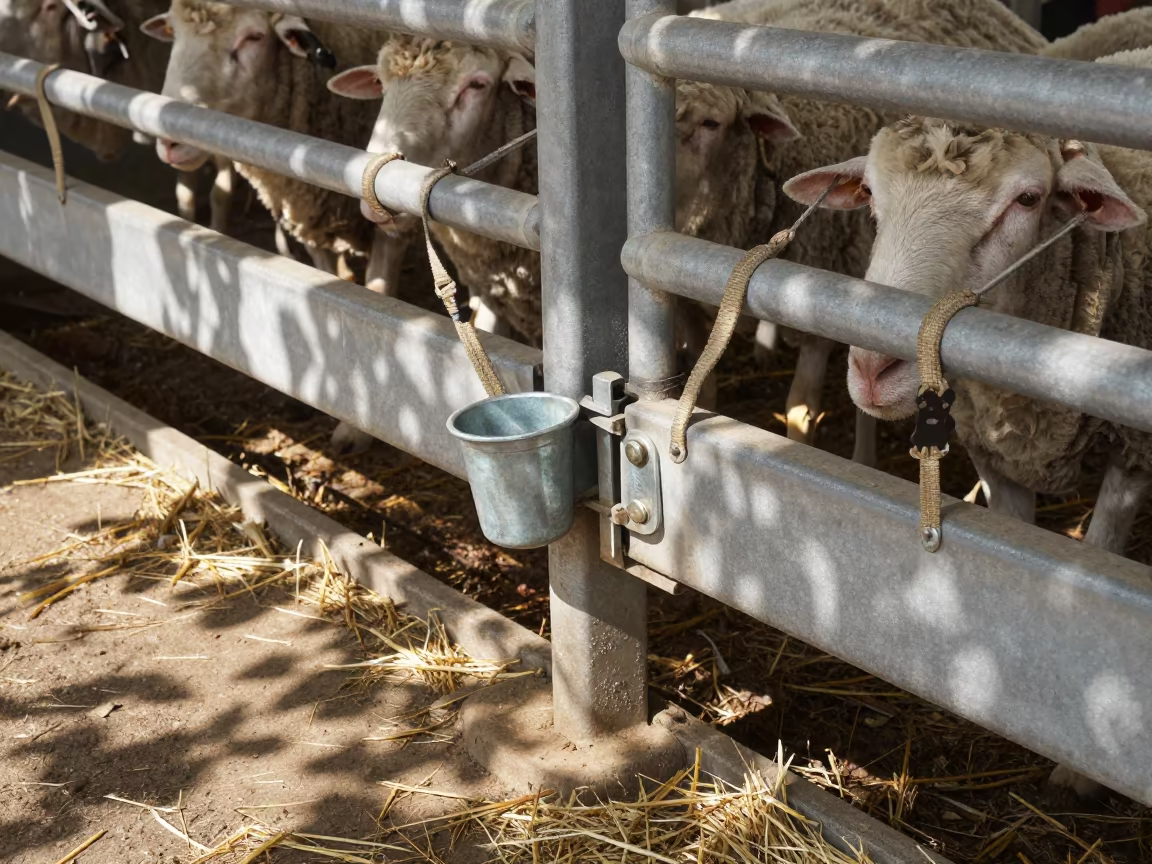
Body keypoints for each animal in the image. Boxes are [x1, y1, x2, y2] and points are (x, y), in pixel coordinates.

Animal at [782, 46, 1152, 802]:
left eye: (1028, 200)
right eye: (870, 197)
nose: (872, 365)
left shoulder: (1134, 448)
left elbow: (1098, 558)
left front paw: (1078, 769)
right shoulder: (993, 450)